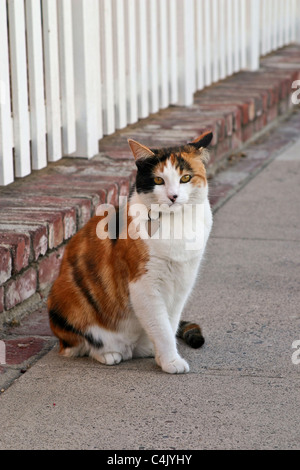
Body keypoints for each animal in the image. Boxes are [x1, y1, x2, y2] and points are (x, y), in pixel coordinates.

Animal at [48, 130, 212, 372]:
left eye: (185, 178)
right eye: (158, 180)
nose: (173, 196)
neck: (177, 224)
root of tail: (130, 350)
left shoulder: (183, 281)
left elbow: (170, 322)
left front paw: (164, 357)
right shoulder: (144, 285)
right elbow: (161, 327)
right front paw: (171, 361)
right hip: (64, 299)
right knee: (80, 346)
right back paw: (109, 354)